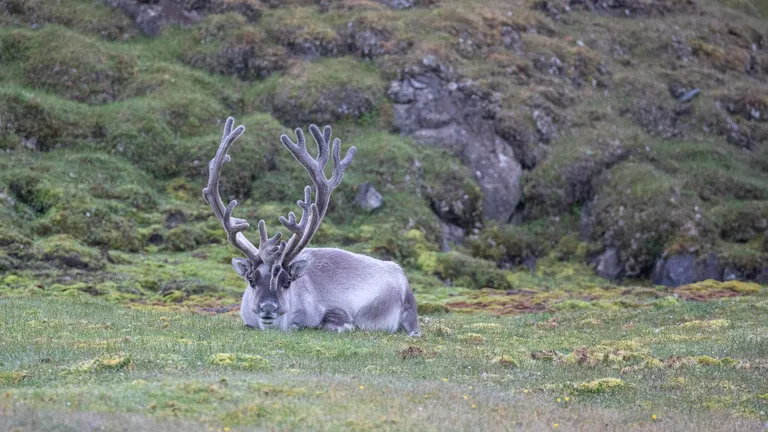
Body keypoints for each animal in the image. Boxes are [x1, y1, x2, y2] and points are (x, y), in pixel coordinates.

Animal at [202, 117, 421, 337]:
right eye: (251, 279)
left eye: (287, 281)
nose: (268, 308)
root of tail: (397, 269)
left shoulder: (335, 311)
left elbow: (334, 322)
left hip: (409, 308)